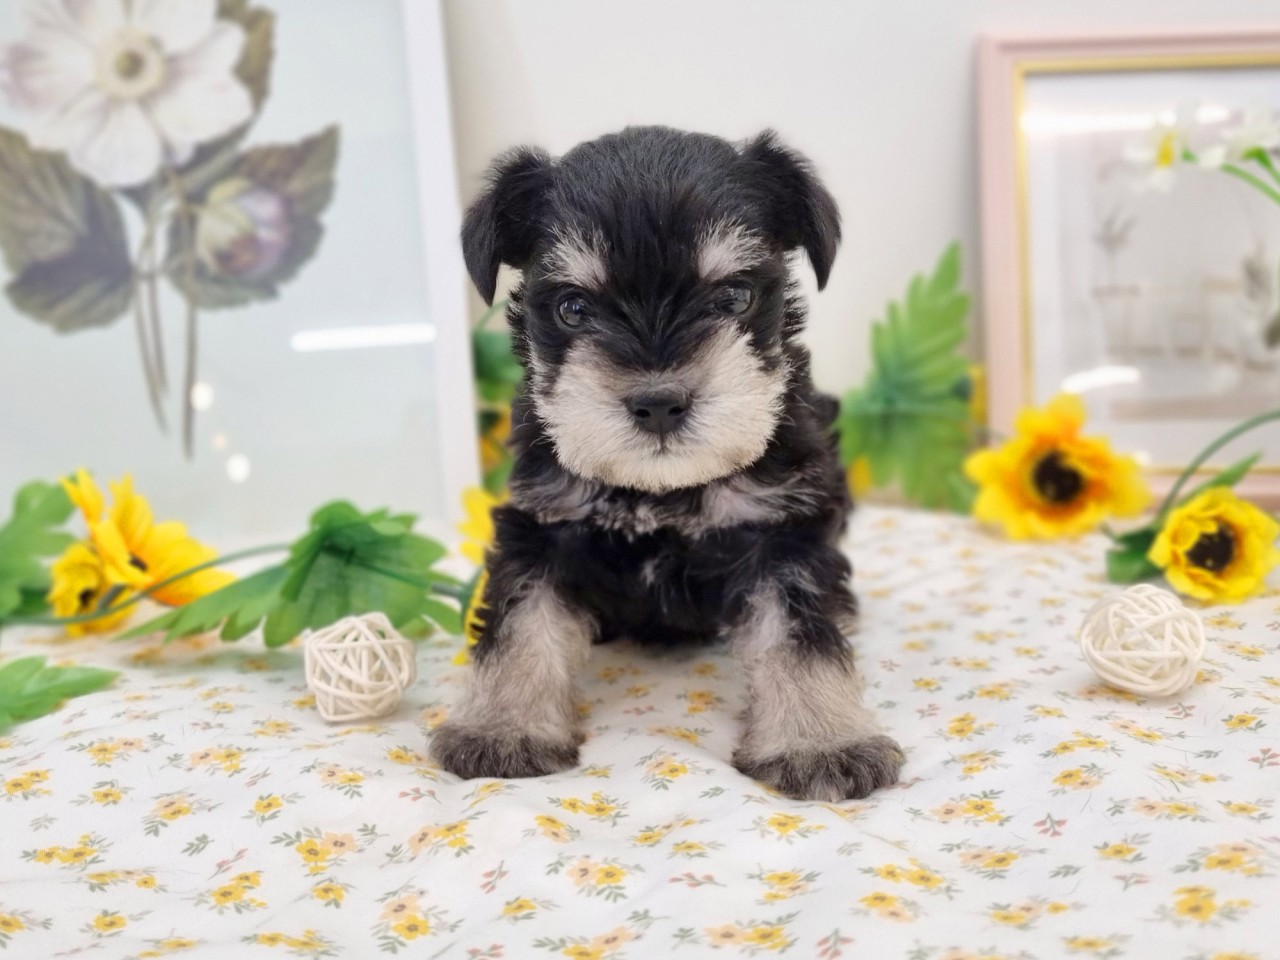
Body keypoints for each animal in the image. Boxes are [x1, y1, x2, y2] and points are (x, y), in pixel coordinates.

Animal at [430, 126, 904, 802]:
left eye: (734, 295)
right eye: (573, 308)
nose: (658, 403)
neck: (660, 490)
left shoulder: (783, 534)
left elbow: (800, 635)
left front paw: (819, 743)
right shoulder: (541, 527)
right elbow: (520, 625)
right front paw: (502, 729)